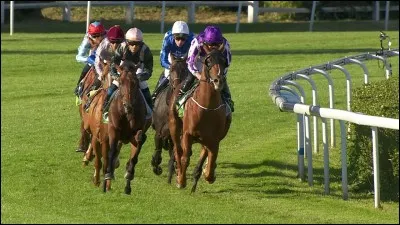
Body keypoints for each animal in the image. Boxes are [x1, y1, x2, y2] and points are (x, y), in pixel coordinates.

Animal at [104, 60, 152, 195]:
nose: (128, 105)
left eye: (135, 83)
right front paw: (108, 174)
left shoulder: (137, 132)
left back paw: (127, 185)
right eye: (120, 82)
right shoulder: (113, 129)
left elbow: (134, 154)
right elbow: (111, 151)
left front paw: (129, 173)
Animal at [151, 53, 188, 184]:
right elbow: (158, 149)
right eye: (171, 69)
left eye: (185, 69)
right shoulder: (159, 132)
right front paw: (156, 166)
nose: (177, 86)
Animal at [168, 47, 231, 192]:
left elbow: (211, 159)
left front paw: (207, 174)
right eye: (208, 61)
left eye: (224, 61)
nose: (218, 81)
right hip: (174, 125)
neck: (207, 108)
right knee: (178, 150)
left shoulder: (214, 139)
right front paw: (181, 180)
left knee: (204, 151)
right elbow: (185, 157)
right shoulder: (187, 134)